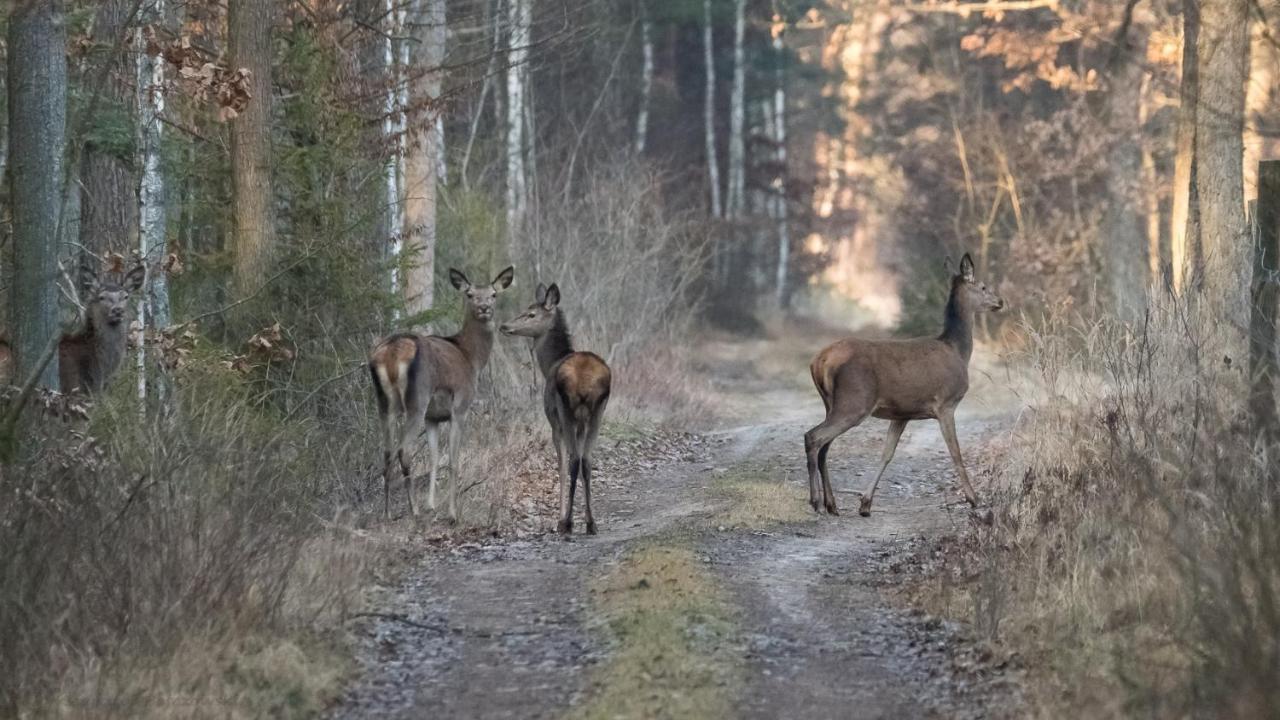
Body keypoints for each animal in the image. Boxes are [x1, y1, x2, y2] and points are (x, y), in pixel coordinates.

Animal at [368, 263, 512, 515]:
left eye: (493, 294)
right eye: (470, 294)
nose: (484, 308)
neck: (472, 358)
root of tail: (391, 353)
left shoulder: (433, 417)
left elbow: (434, 457)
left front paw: (431, 505)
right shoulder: (461, 407)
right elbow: (453, 460)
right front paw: (452, 512)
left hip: (384, 403)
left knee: (386, 453)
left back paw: (387, 513)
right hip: (417, 399)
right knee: (404, 450)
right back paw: (413, 511)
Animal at [499, 280, 609, 532]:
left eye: (531, 313)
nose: (504, 325)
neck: (548, 363)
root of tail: (587, 382)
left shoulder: (553, 422)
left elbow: (560, 465)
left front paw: (560, 518)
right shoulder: (581, 423)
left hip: (564, 408)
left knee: (573, 460)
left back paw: (567, 523)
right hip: (598, 411)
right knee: (587, 459)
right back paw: (591, 522)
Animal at [803, 252, 1003, 515]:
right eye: (983, 287)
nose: (1000, 301)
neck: (958, 350)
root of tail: (820, 361)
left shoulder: (901, 413)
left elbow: (887, 454)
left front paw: (865, 503)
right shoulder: (946, 403)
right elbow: (956, 452)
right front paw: (974, 499)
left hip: (832, 404)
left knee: (824, 446)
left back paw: (831, 504)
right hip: (854, 401)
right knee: (813, 437)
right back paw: (816, 502)